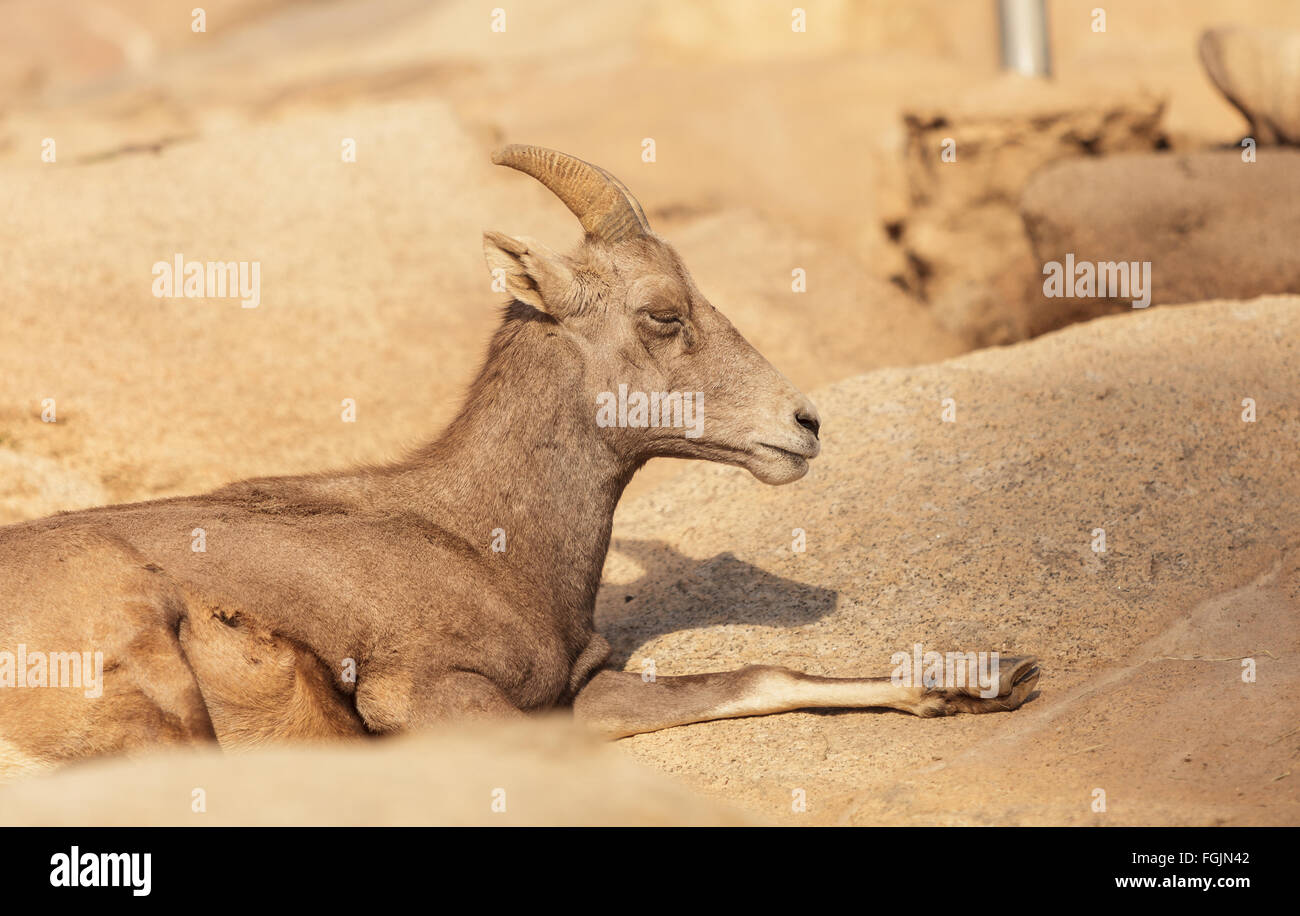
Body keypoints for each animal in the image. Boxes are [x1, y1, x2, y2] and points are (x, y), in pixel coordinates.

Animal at [0, 144, 1034, 769]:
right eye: (663, 313)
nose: (804, 424)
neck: (487, 541)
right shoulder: (439, 700)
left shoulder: (590, 690)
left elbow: (757, 678)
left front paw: (983, 682)